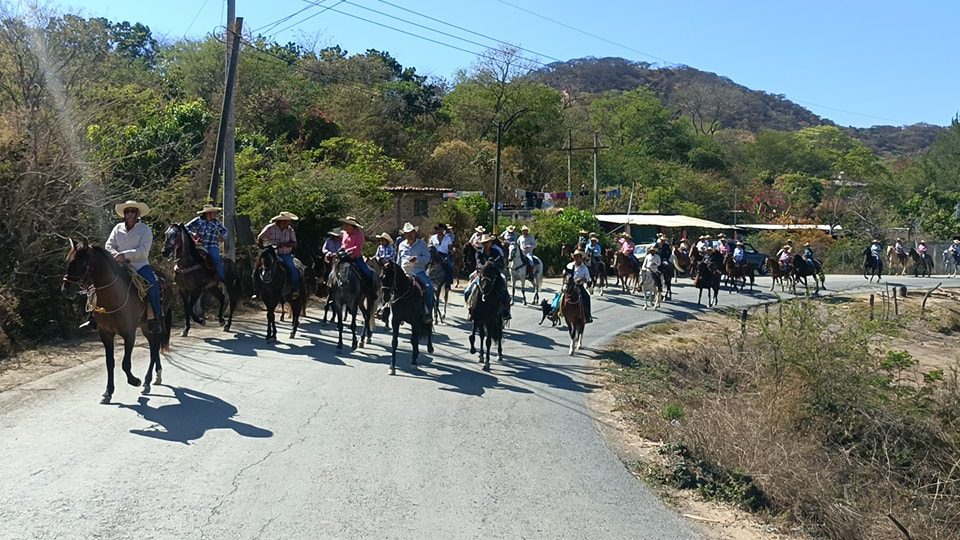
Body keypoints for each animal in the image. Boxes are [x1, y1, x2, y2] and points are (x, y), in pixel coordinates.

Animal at [61, 239, 172, 400]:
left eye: (81, 264)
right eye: (68, 261)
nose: (66, 290)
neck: (114, 296)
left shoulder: (129, 334)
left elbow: (125, 364)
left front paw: (135, 381)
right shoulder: (105, 333)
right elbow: (110, 363)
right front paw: (108, 391)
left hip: (155, 324)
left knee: (154, 349)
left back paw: (146, 381)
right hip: (145, 327)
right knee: (154, 347)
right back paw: (156, 376)